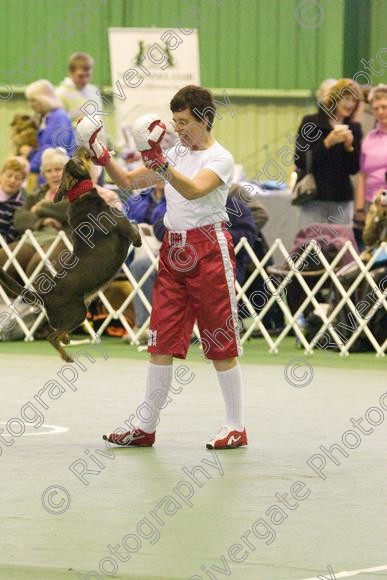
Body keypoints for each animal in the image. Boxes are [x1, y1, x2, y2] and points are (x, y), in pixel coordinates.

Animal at [0, 153, 142, 362]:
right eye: (79, 162)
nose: (76, 153)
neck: (82, 194)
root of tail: (45, 296)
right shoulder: (122, 224)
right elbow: (135, 228)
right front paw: (139, 240)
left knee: (59, 333)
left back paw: (67, 342)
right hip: (78, 313)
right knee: (53, 336)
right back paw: (66, 356)